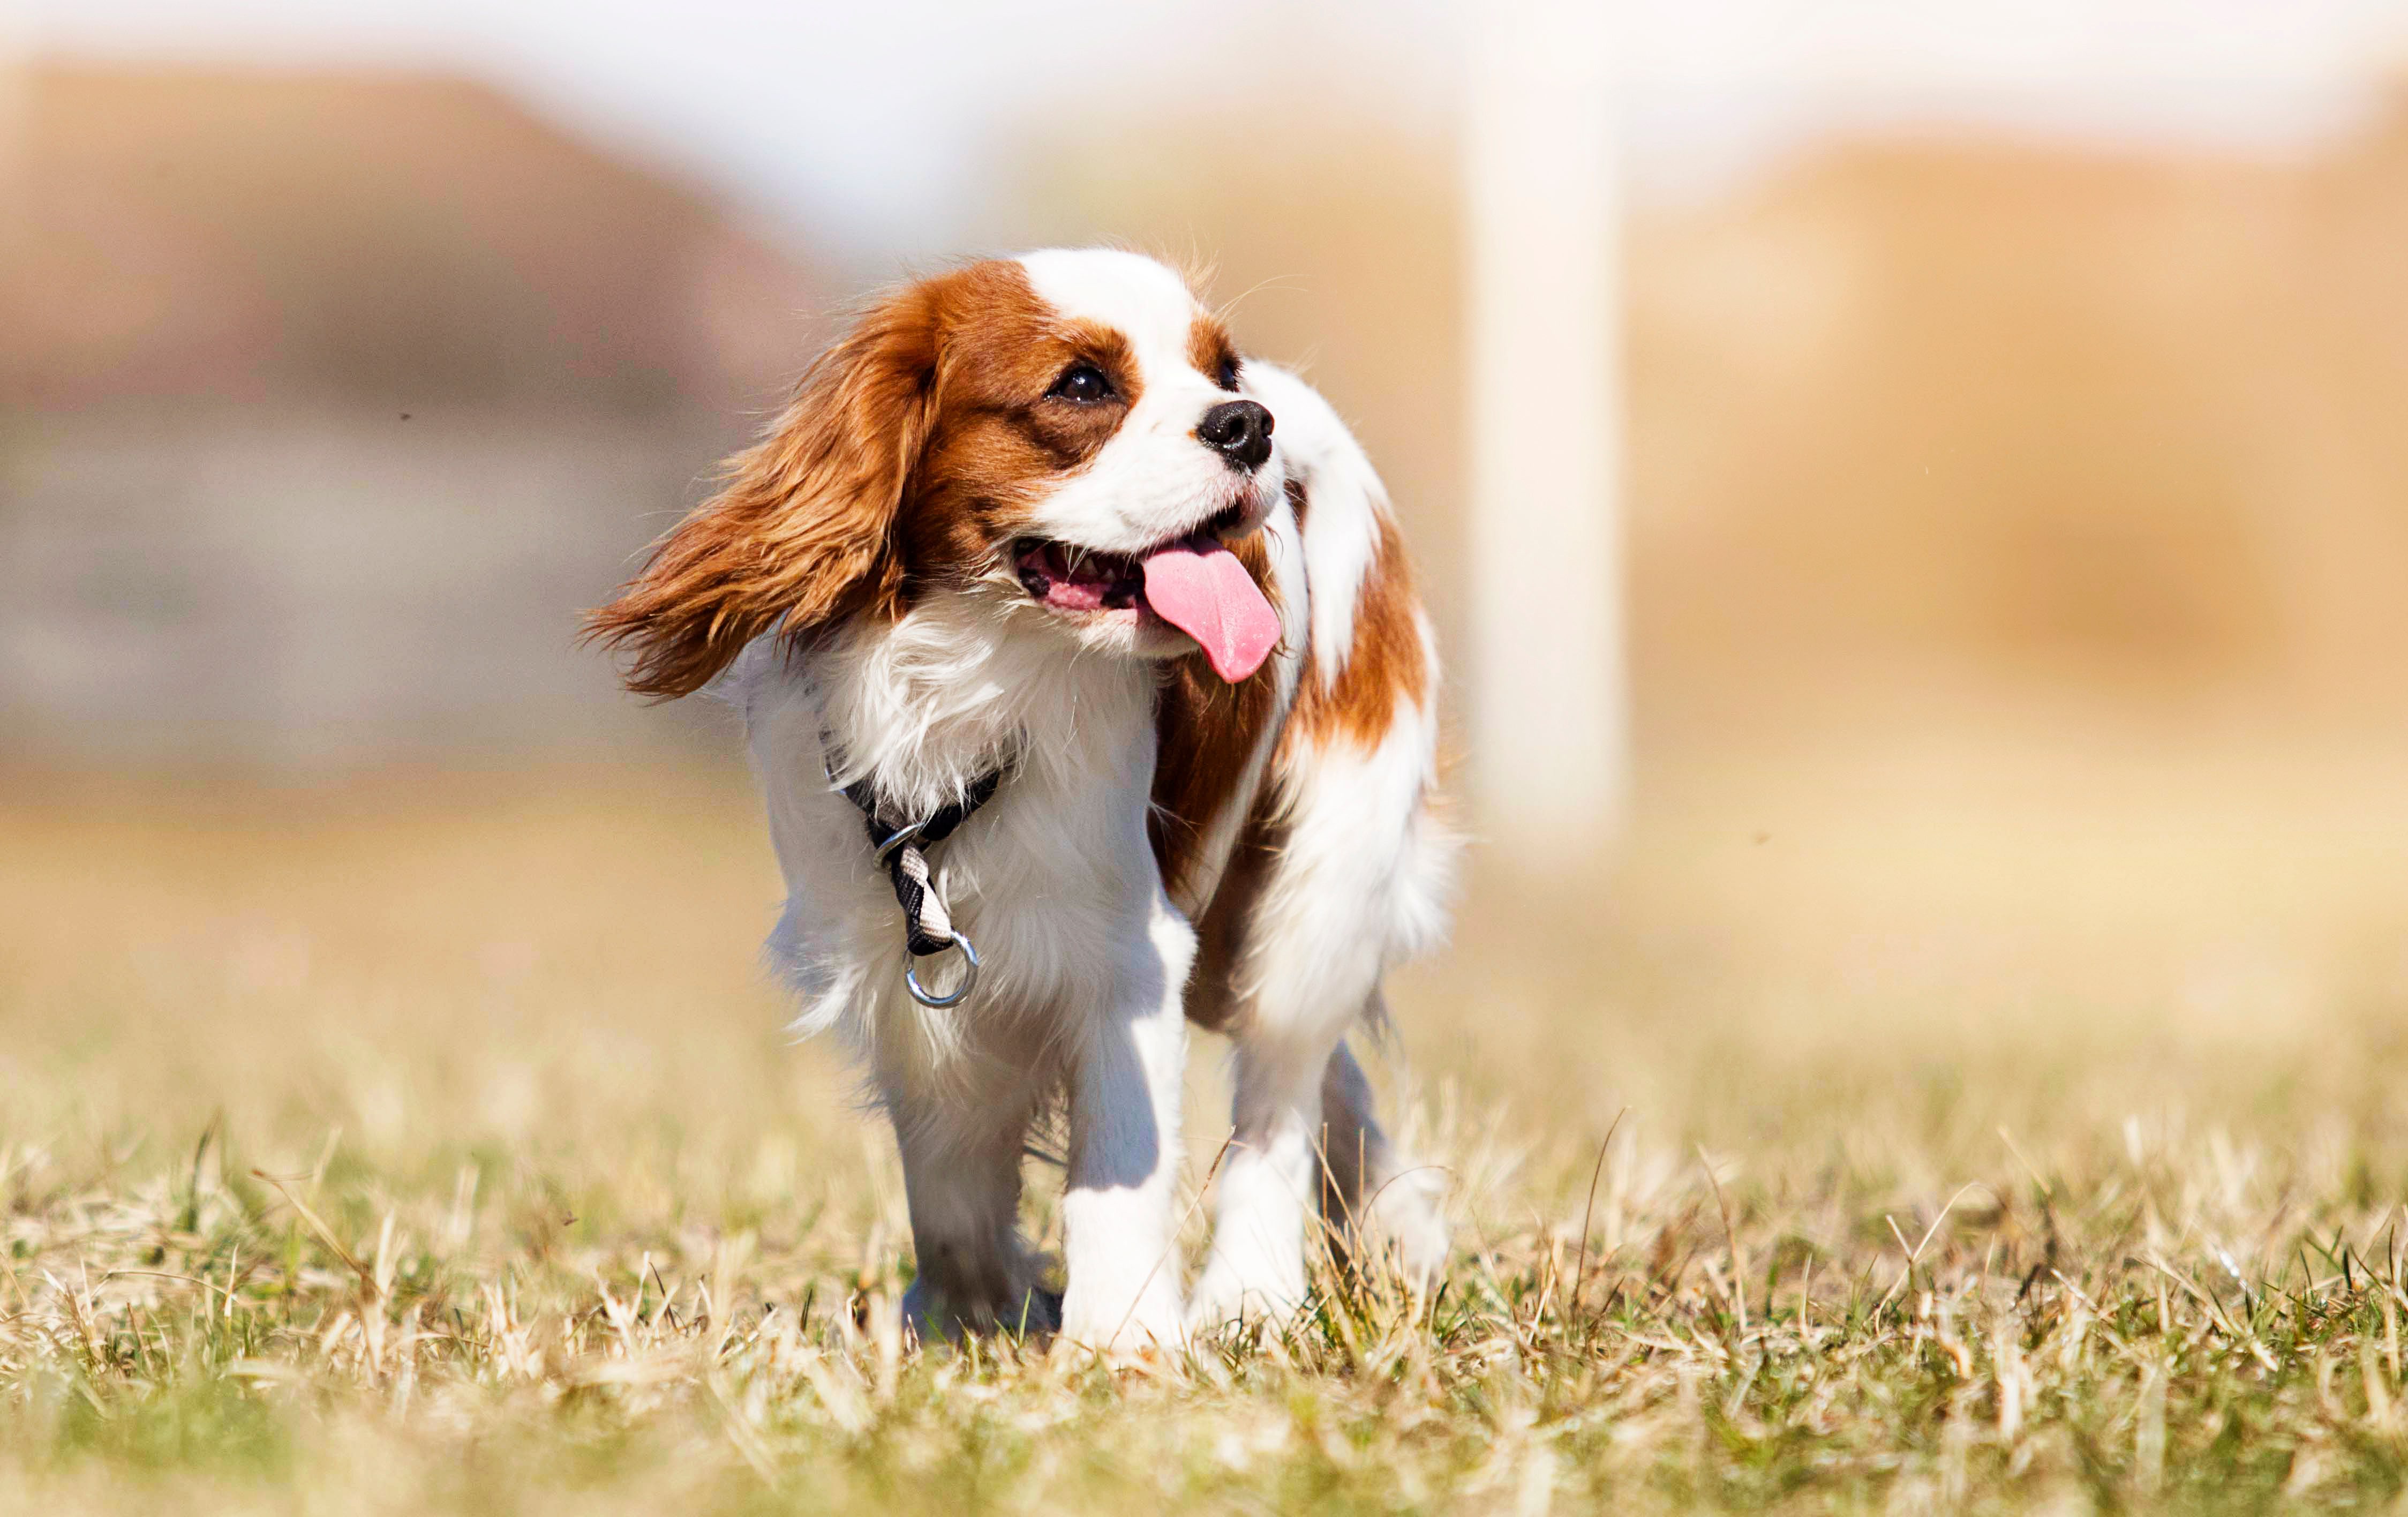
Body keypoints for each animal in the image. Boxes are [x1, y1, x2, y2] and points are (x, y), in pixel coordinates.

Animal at [592, 249, 1454, 1358]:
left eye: (1220, 369)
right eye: (1082, 386)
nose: (1245, 421)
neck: (979, 673)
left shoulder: (1128, 956)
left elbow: (1118, 1172)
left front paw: (1122, 1341)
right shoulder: (896, 963)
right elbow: (950, 1194)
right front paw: (972, 1315)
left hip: (1326, 883)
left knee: (1283, 1084)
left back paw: (1252, 1293)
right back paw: (1395, 1222)